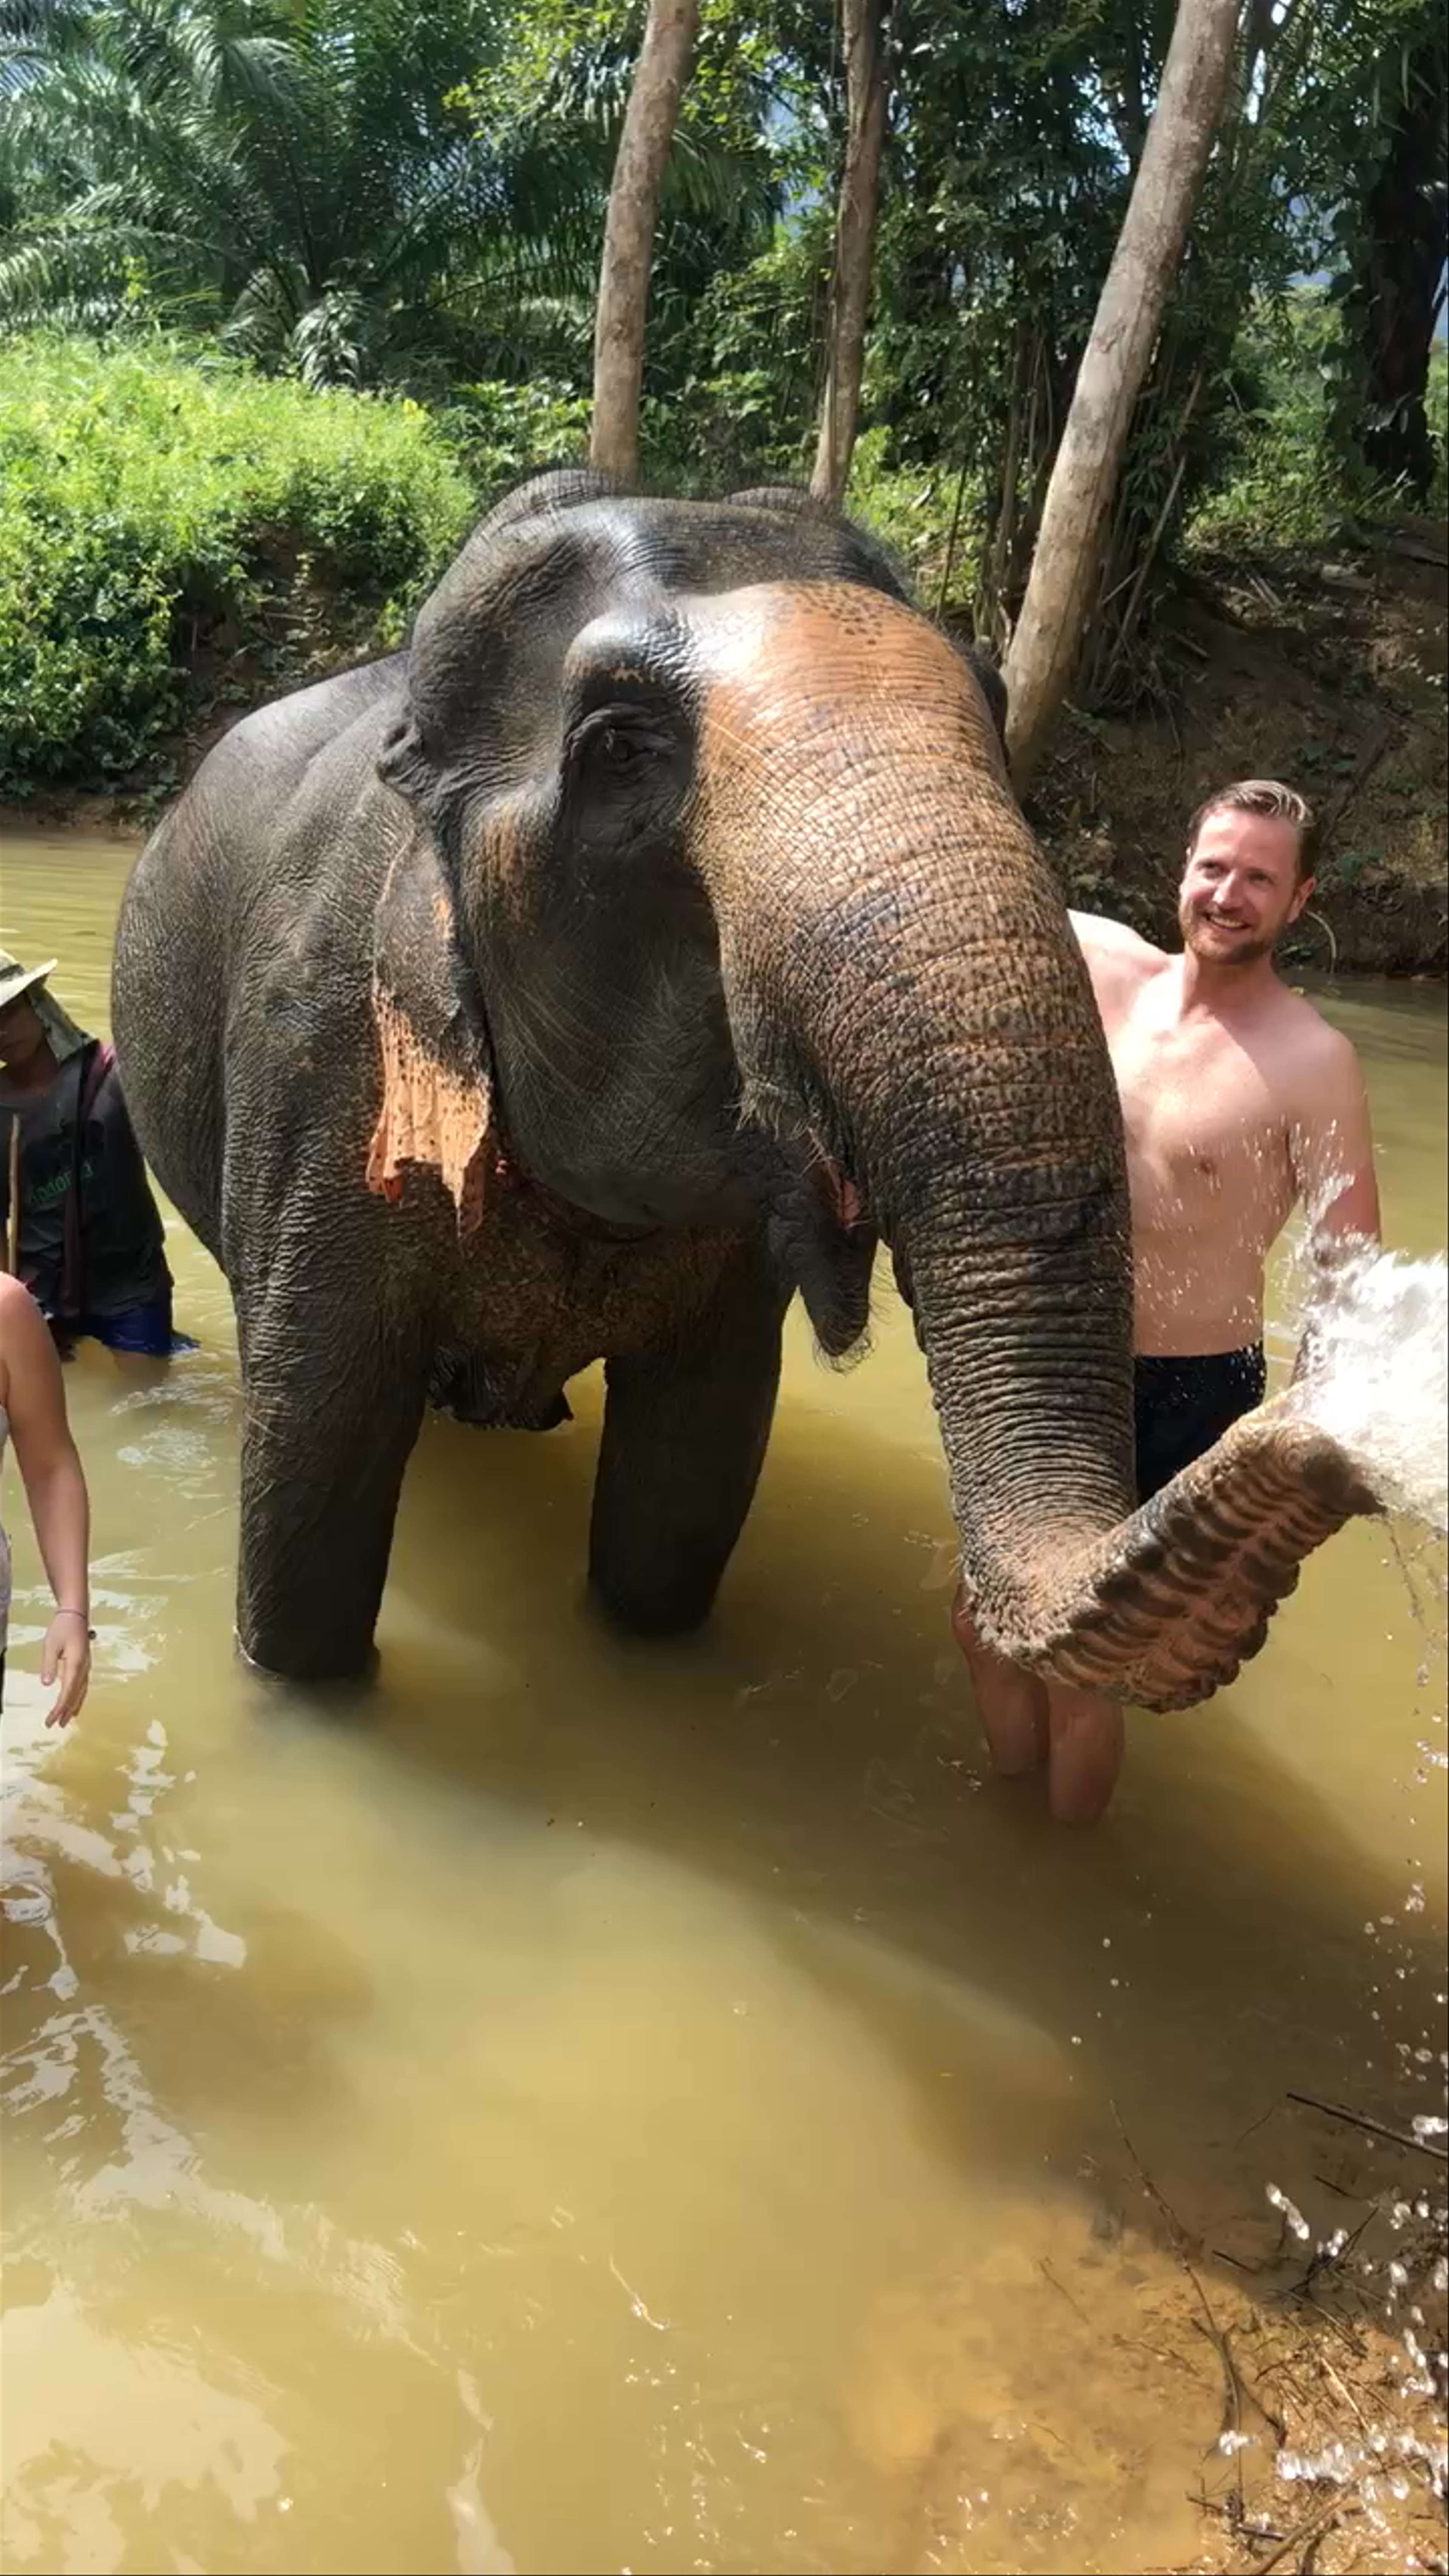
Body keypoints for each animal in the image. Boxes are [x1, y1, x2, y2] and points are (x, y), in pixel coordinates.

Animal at [111, 469, 1375, 1701]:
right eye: (621, 748)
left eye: (993, 720)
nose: (1330, 1445)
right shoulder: (318, 1065)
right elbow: (309, 1508)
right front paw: (302, 1682)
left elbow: (683, 1496)